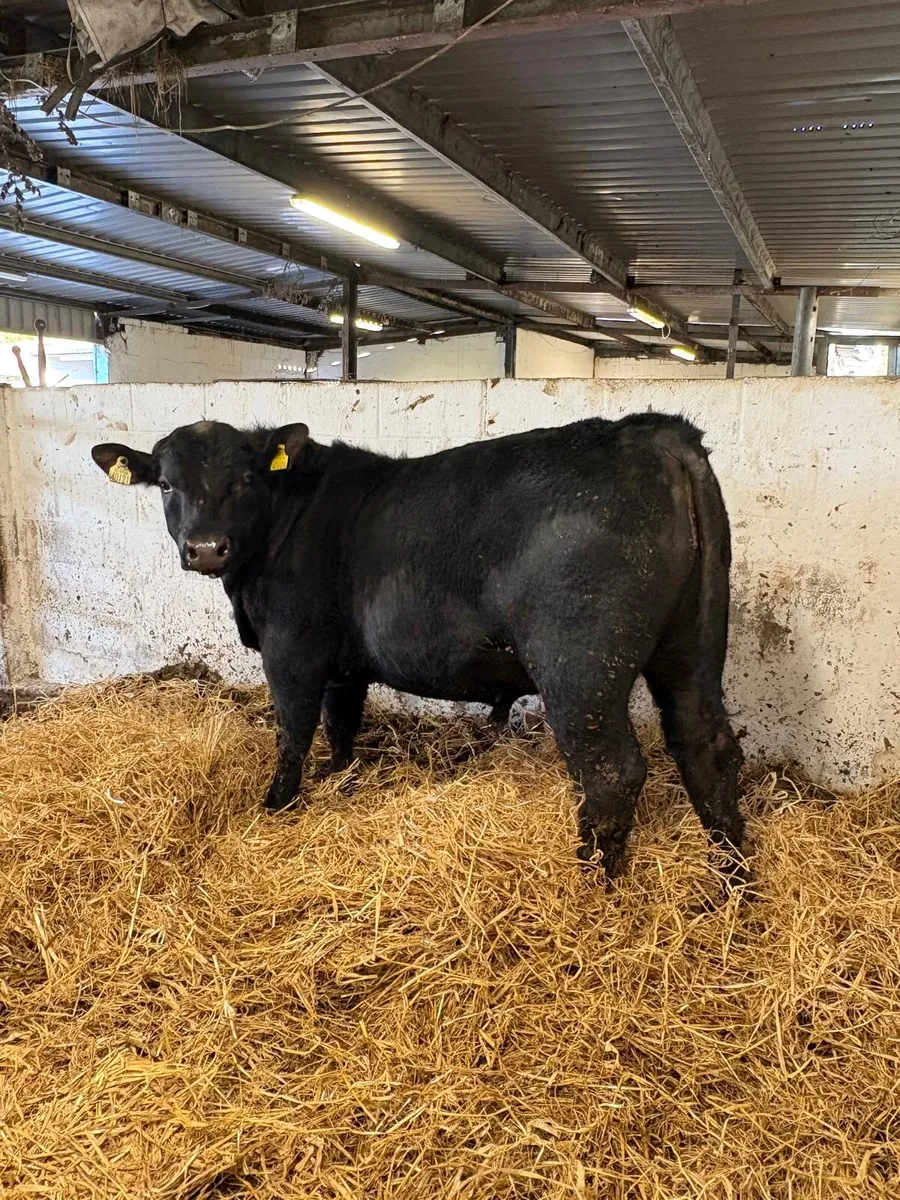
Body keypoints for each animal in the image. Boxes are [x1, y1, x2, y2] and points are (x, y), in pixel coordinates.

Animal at [91, 413, 746, 885]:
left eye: (246, 479)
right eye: (167, 484)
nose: (205, 547)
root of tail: (653, 430)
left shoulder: (291, 649)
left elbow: (293, 729)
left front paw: (276, 805)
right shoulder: (343, 665)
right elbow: (341, 721)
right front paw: (339, 777)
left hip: (580, 666)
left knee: (612, 772)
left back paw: (593, 885)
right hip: (691, 651)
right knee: (707, 747)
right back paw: (732, 884)